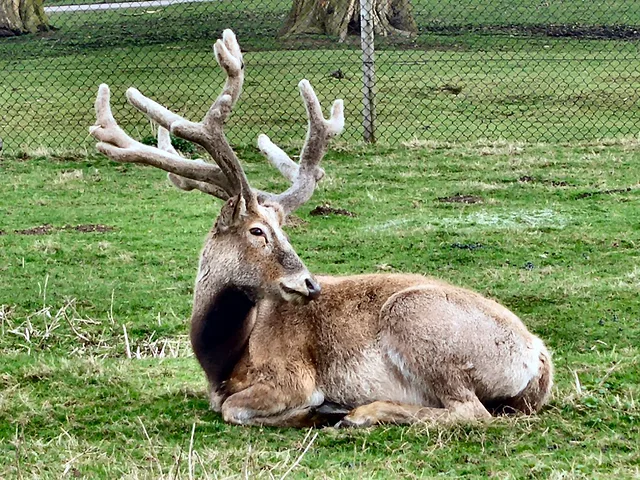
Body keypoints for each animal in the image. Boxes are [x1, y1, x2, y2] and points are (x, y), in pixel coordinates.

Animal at [89, 30, 553, 428]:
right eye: (258, 230)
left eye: (280, 227)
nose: (309, 284)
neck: (222, 357)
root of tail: (539, 360)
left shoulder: (289, 374)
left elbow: (234, 409)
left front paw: (317, 411)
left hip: (416, 320)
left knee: (470, 411)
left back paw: (360, 413)